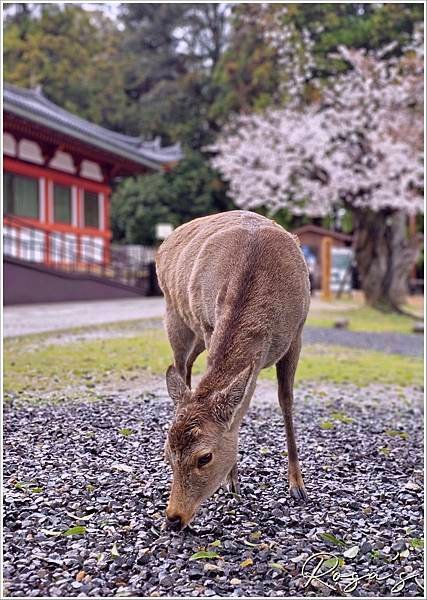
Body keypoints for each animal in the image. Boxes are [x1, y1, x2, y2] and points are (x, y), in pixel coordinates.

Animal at [155, 210, 310, 528]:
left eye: (205, 457)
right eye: (167, 455)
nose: (173, 518)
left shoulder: (297, 333)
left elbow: (286, 400)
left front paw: (297, 486)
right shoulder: (207, 324)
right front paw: (233, 482)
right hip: (175, 317)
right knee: (181, 365)